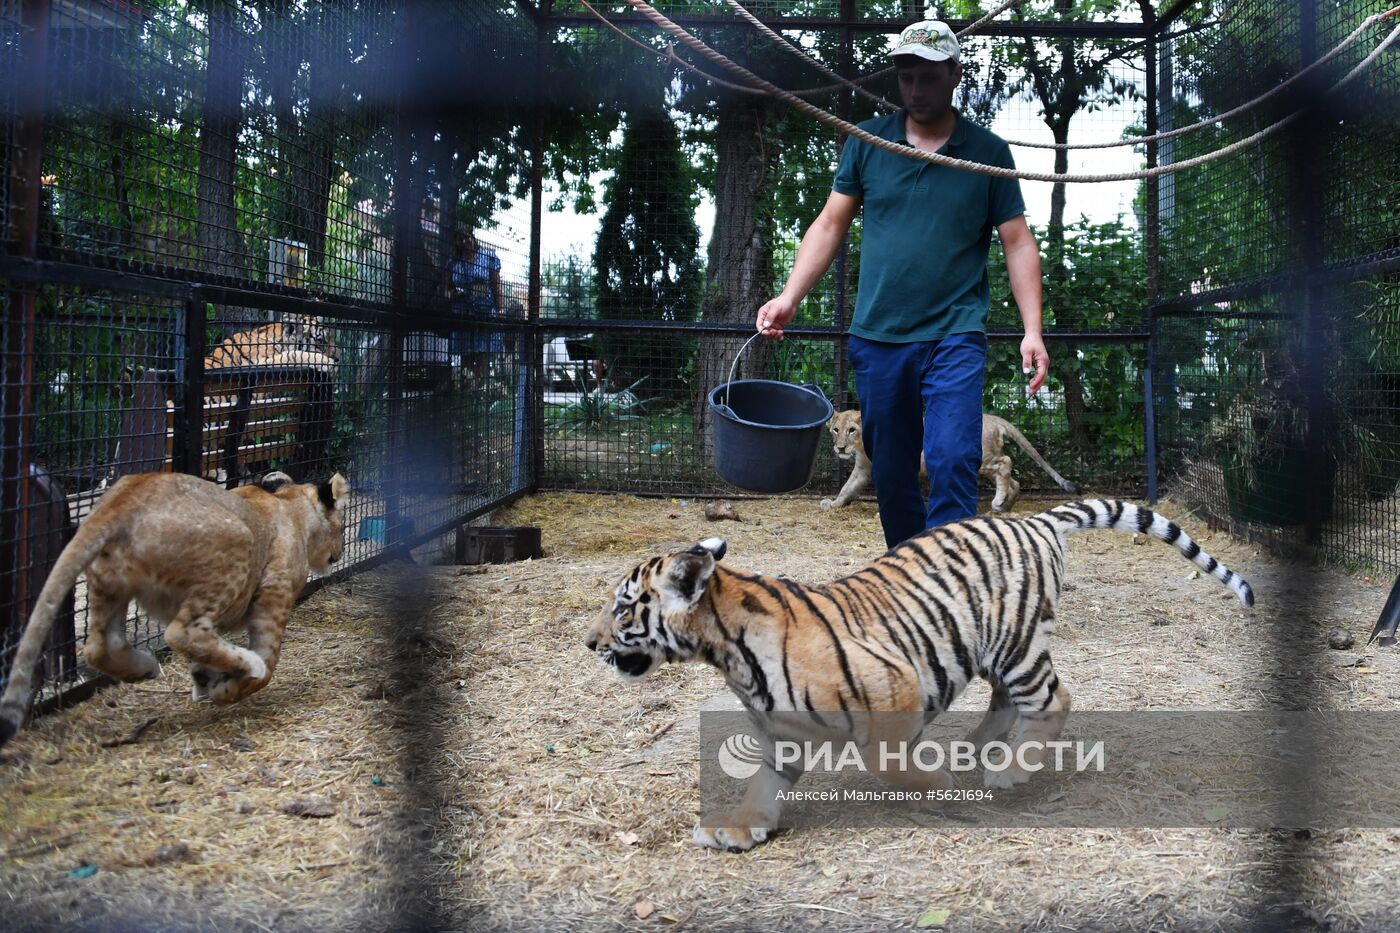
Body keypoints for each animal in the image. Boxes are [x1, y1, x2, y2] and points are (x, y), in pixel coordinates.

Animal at [585, 498, 1254, 846]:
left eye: (622, 607)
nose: (589, 642)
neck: (729, 653)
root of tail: (1033, 518)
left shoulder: (894, 684)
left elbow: (886, 761)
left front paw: (932, 786)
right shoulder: (781, 732)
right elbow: (763, 782)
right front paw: (740, 827)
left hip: (1015, 642)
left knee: (1053, 699)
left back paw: (1008, 770)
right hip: (992, 650)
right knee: (1005, 702)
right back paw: (976, 752)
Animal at [817, 406, 1080, 509]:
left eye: (852, 430)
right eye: (835, 429)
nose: (840, 448)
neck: (861, 446)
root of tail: (996, 419)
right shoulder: (862, 469)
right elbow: (847, 488)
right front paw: (834, 504)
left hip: (980, 459)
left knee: (1006, 464)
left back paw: (998, 501)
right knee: (1011, 479)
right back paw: (1004, 506)